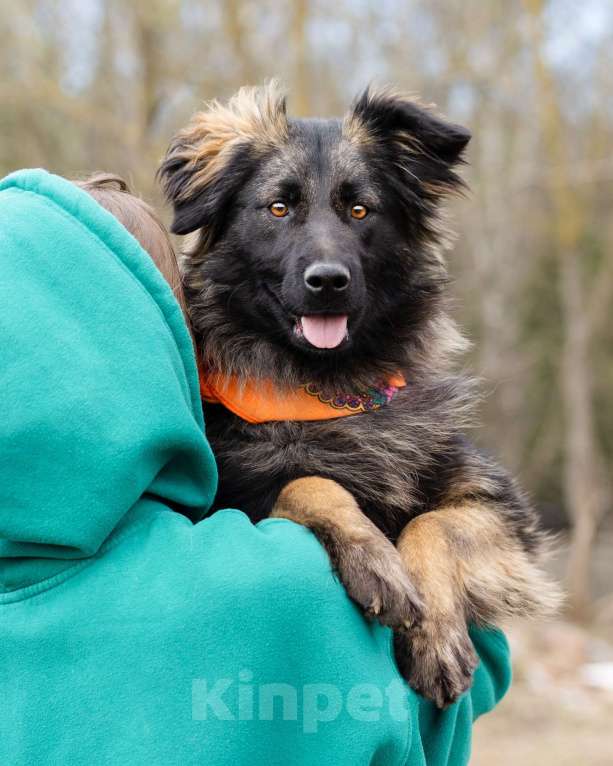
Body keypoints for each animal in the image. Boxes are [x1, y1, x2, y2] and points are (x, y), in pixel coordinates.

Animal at [159, 82, 560, 708]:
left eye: (360, 210)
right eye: (279, 208)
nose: (328, 282)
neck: (331, 393)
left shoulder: (501, 511)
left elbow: (433, 525)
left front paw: (435, 634)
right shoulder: (236, 498)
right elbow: (311, 483)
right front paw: (374, 557)